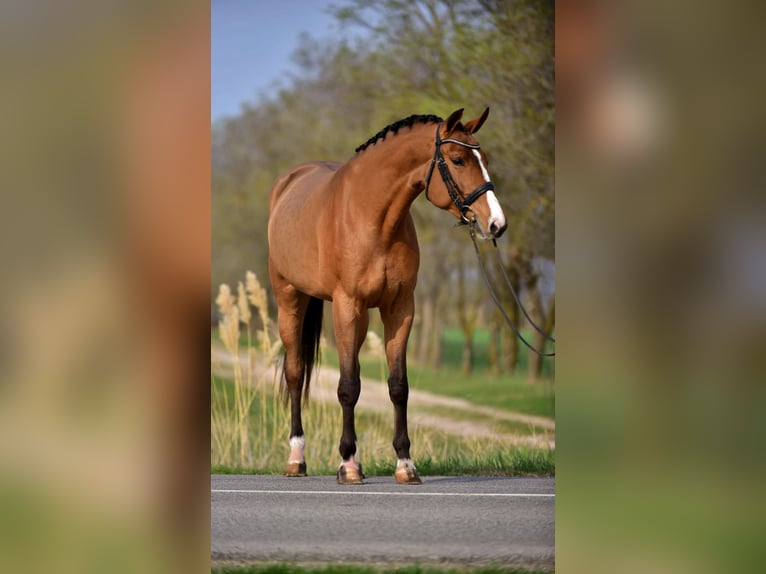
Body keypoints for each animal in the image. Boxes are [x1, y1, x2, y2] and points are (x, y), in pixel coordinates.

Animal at [267, 107, 507, 485]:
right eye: (458, 159)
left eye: (484, 159)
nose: (496, 223)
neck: (372, 217)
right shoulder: (348, 306)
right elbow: (348, 386)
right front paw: (349, 464)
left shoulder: (400, 309)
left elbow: (398, 386)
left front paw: (405, 464)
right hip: (290, 299)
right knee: (295, 373)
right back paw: (296, 458)